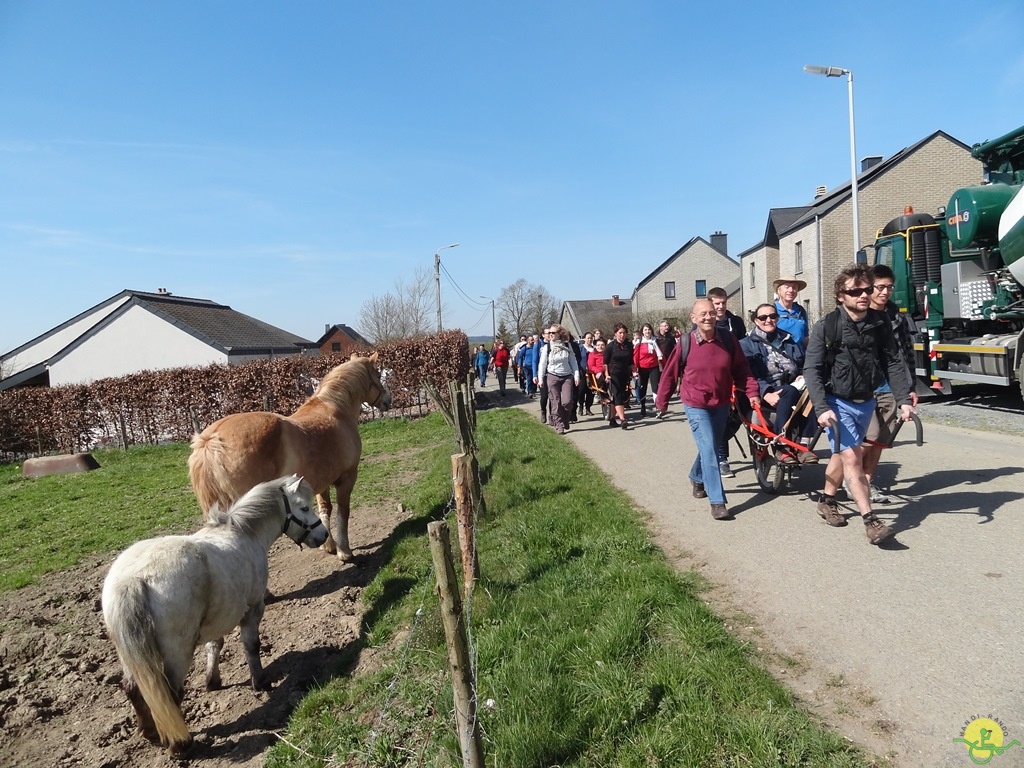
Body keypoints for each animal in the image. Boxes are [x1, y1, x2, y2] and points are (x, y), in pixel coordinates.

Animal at [99, 473, 323, 753]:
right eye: (303, 507)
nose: (323, 535)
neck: (244, 532)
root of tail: (133, 578)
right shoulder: (253, 608)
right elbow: (251, 646)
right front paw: (259, 681)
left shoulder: (217, 618)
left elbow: (214, 645)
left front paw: (212, 681)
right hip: (177, 653)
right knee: (171, 695)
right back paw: (180, 746)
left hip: (129, 654)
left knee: (133, 689)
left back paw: (149, 731)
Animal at [186, 354, 389, 561]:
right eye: (378, 375)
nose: (388, 400)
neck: (335, 410)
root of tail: (211, 439)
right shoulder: (347, 478)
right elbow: (343, 512)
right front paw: (344, 551)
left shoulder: (321, 483)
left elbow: (325, 510)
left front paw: (329, 546)